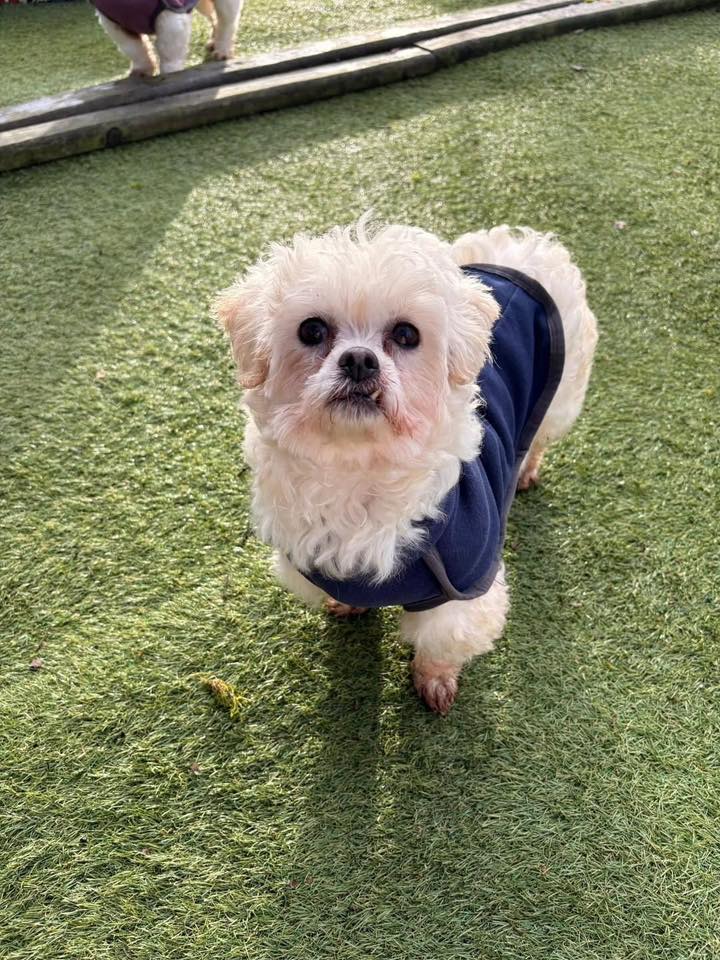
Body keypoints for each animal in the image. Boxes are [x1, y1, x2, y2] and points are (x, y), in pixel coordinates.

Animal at [92, 0, 244, 76]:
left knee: (227, 20)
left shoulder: (170, 15)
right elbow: (132, 48)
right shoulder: (114, 22)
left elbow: (169, 53)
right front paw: (142, 70)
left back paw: (222, 51)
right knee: (213, 16)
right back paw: (213, 42)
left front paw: (170, 77)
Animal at [215, 218, 597, 714]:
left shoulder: (464, 588)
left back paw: (527, 467)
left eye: (406, 335)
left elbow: (439, 643)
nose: (359, 359)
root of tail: (521, 246)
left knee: (538, 437)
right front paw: (350, 607)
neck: (358, 471)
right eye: (312, 330)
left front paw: (434, 682)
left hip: (561, 399)